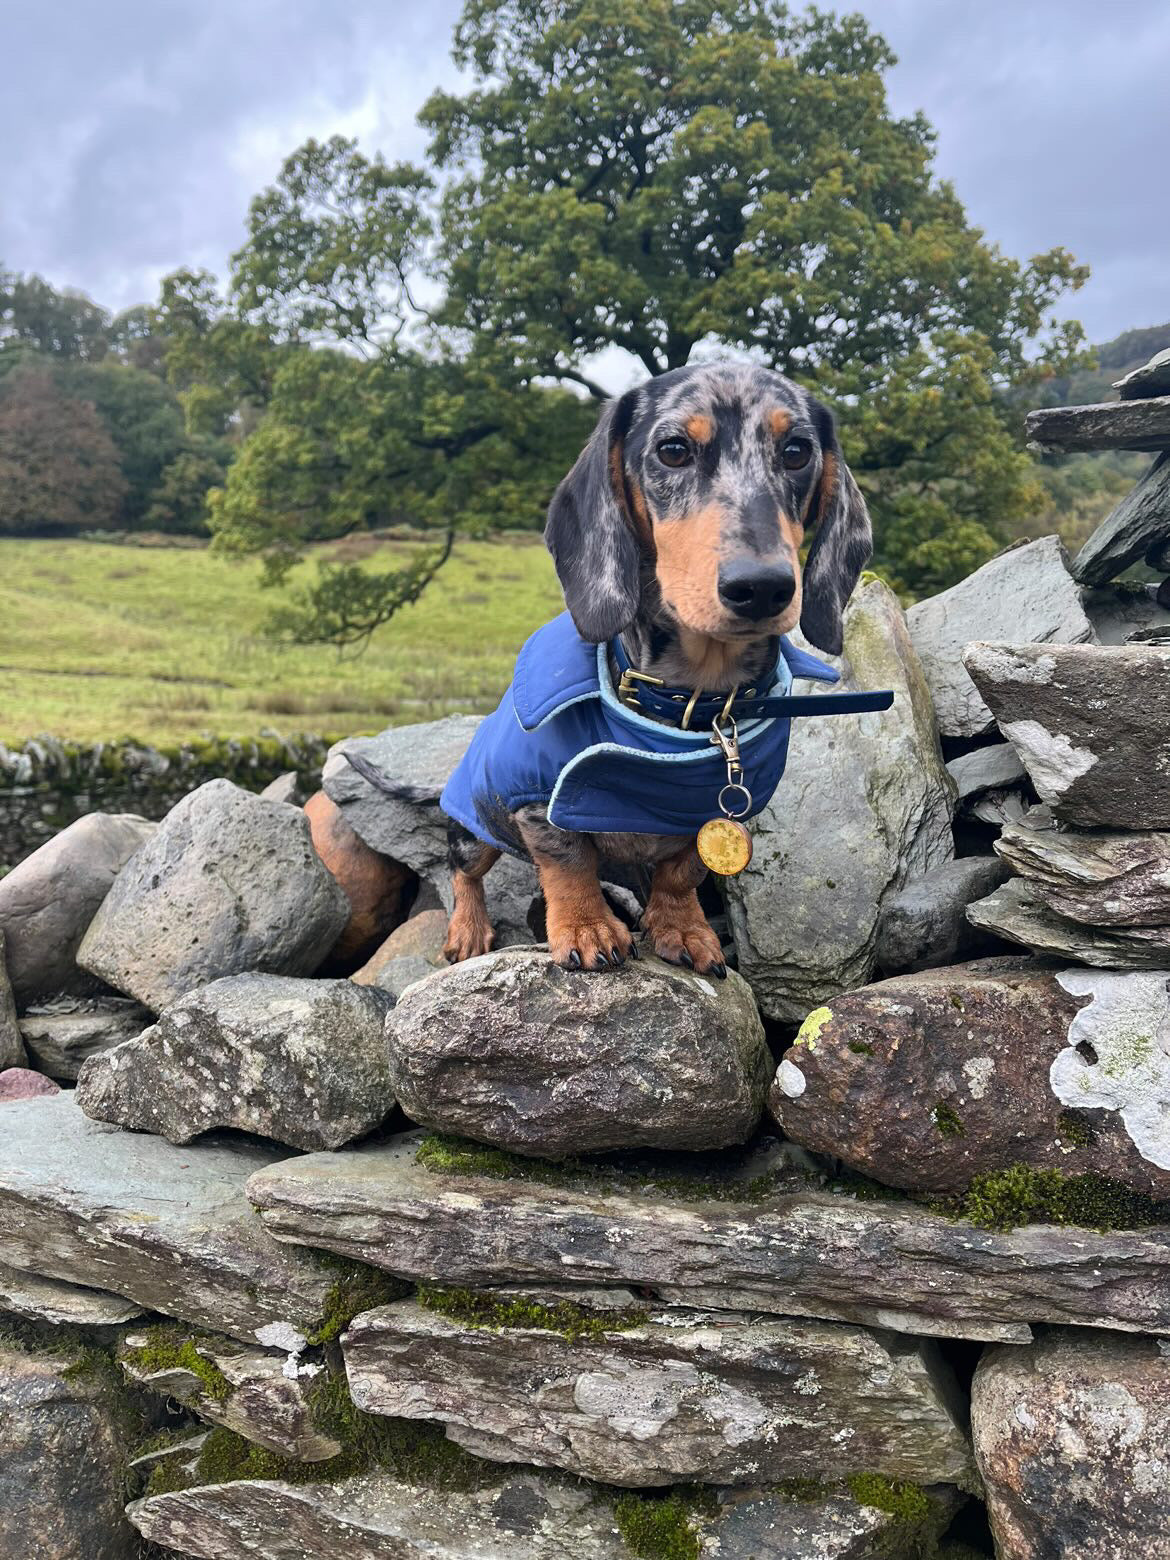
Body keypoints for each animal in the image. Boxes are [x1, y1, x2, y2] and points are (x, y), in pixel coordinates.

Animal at [439, 360, 873, 979]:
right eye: (672, 450)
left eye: (796, 451)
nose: (762, 587)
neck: (694, 705)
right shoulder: (538, 803)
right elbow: (567, 862)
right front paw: (586, 927)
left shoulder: (708, 811)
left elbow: (682, 871)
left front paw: (682, 929)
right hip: (477, 826)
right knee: (464, 872)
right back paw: (468, 930)